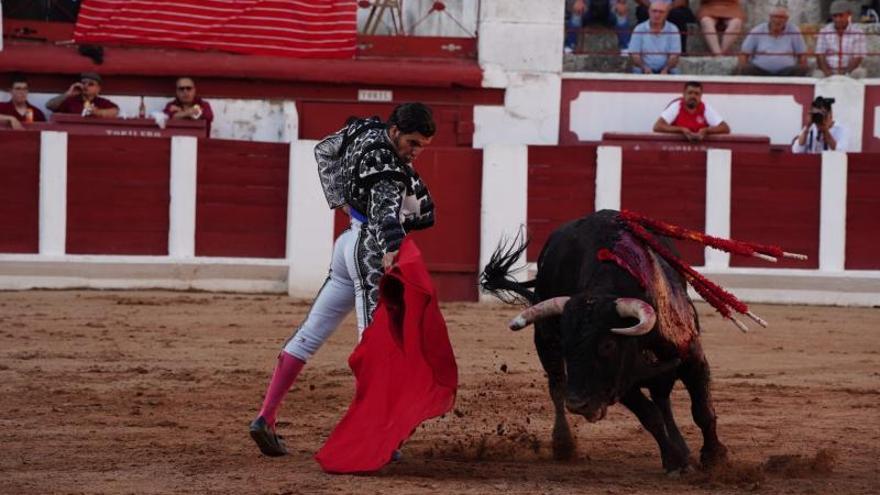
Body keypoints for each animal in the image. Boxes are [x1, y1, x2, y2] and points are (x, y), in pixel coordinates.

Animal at [482, 208, 728, 472]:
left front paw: (714, 457)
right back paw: (563, 444)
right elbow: (650, 416)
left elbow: (702, 411)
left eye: (608, 345)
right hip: (545, 340)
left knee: (663, 399)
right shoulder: (620, 381)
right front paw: (675, 462)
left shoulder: (692, 356)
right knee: (557, 386)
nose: (578, 404)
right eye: (566, 346)